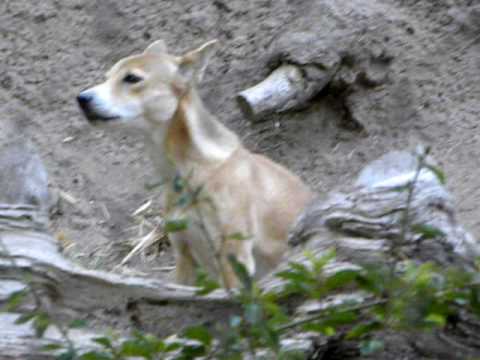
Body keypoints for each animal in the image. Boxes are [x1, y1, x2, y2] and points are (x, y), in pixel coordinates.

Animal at [77, 40, 314, 286]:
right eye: (107, 77)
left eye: (132, 78)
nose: (82, 98)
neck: (188, 171)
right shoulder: (184, 253)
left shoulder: (233, 256)